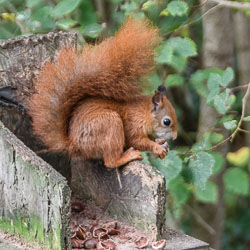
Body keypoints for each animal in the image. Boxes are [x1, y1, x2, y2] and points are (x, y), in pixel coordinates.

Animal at [27, 17, 178, 168]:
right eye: (166, 121)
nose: (175, 137)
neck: (143, 113)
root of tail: (74, 145)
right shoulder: (133, 126)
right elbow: (137, 141)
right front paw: (156, 147)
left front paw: (159, 142)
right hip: (110, 124)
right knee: (110, 161)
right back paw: (127, 156)